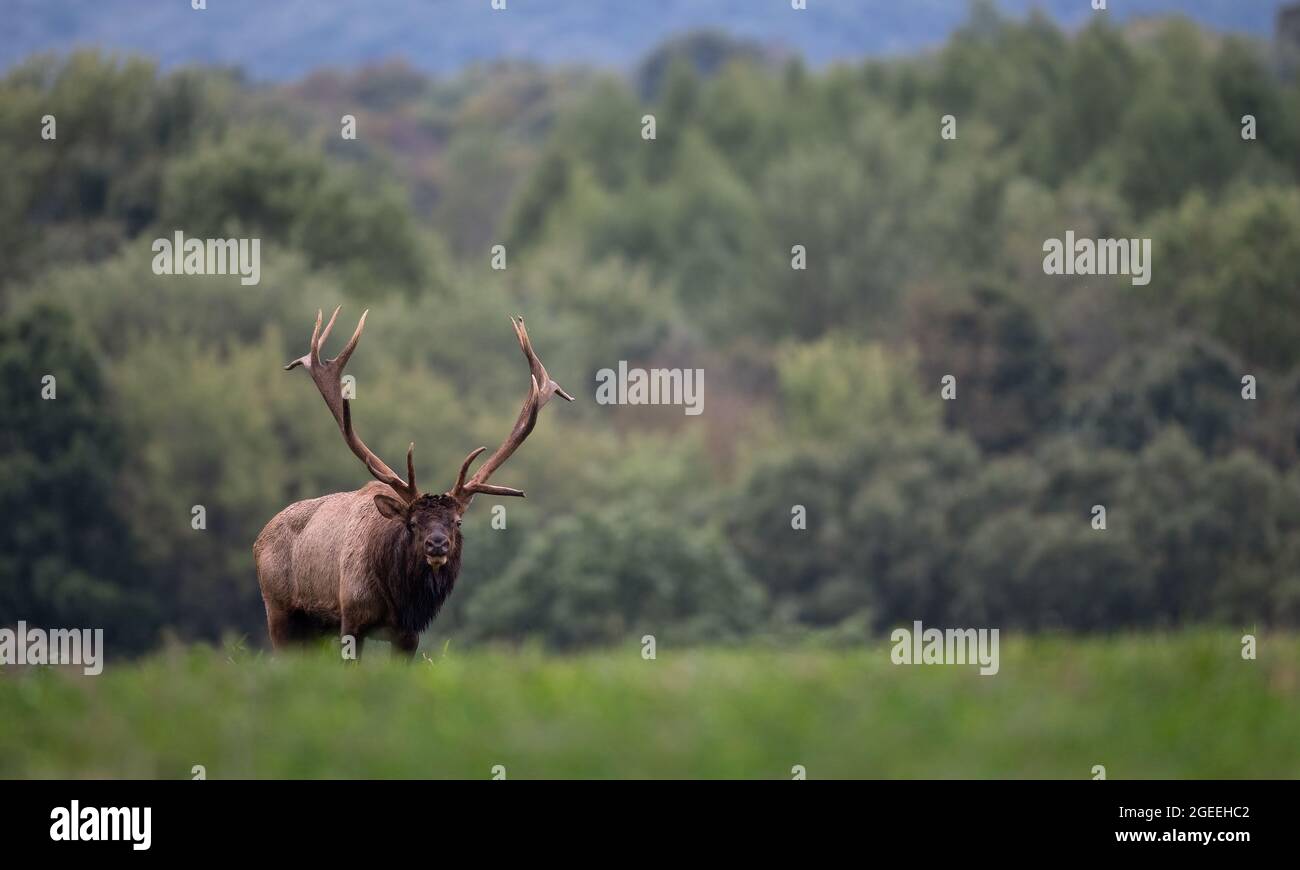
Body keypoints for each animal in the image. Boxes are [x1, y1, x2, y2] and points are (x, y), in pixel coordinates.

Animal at [253, 307, 572, 658]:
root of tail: (259, 538)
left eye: (457, 521)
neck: (399, 602)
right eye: (412, 523)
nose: (437, 544)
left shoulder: (409, 635)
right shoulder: (351, 616)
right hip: (279, 610)